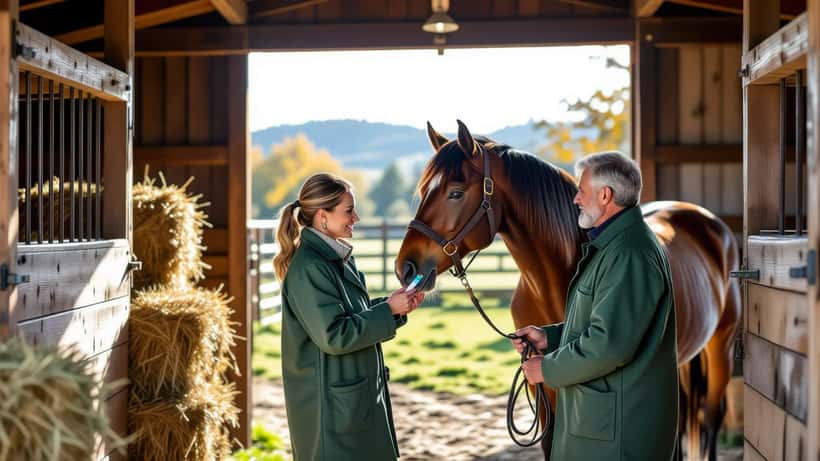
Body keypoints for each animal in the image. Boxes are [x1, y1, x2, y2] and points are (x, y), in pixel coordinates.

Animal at [395, 120, 741, 461]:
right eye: (424, 191)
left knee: (711, 418)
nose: (405, 268)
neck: (555, 276)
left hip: (720, 347)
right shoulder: (542, 387)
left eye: (455, 193)